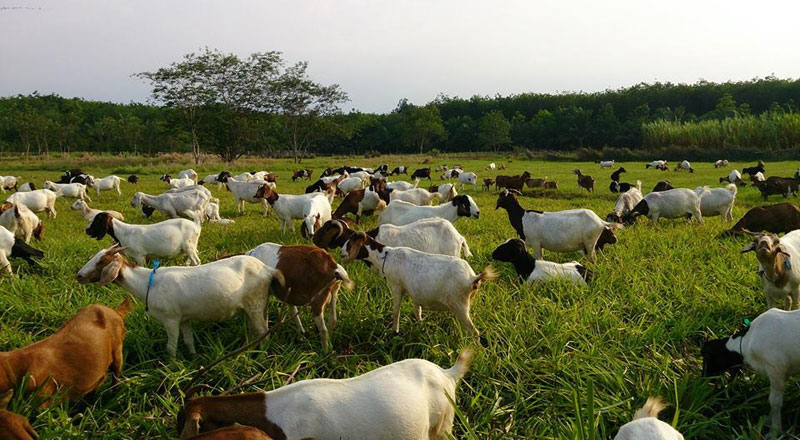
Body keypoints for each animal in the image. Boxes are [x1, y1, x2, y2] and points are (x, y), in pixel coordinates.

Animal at [77, 246, 284, 360]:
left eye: (101, 261)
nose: (78, 275)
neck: (147, 283)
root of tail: (267, 269)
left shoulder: (171, 319)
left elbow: (171, 347)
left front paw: (172, 366)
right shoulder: (184, 319)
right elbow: (188, 340)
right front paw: (193, 357)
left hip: (255, 303)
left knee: (262, 331)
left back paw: (261, 356)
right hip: (259, 303)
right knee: (260, 327)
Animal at [342, 232, 494, 336]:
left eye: (349, 243)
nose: (341, 253)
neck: (385, 257)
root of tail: (472, 278)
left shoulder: (396, 286)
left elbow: (396, 311)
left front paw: (394, 330)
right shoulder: (415, 293)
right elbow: (417, 310)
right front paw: (420, 326)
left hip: (460, 304)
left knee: (474, 331)